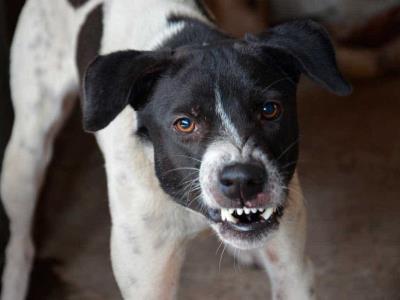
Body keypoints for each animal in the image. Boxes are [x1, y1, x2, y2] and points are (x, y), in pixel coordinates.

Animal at [0, 0, 350, 300]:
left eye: (269, 110)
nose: (242, 180)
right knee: (20, 241)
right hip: (27, 150)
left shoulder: (293, 271)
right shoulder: (148, 282)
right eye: (184, 123)